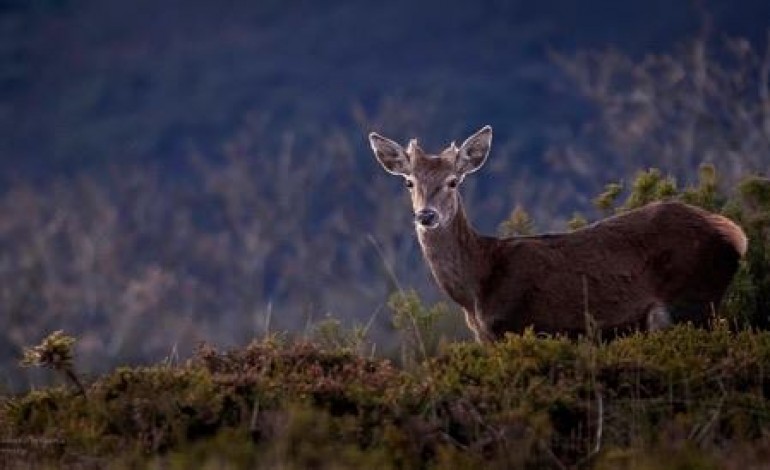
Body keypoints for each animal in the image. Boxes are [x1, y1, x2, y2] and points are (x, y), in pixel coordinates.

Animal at [368, 126, 748, 342]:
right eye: (409, 182)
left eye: (452, 182)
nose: (426, 215)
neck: (476, 291)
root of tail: (737, 234)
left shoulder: (520, 326)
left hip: (692, 301)